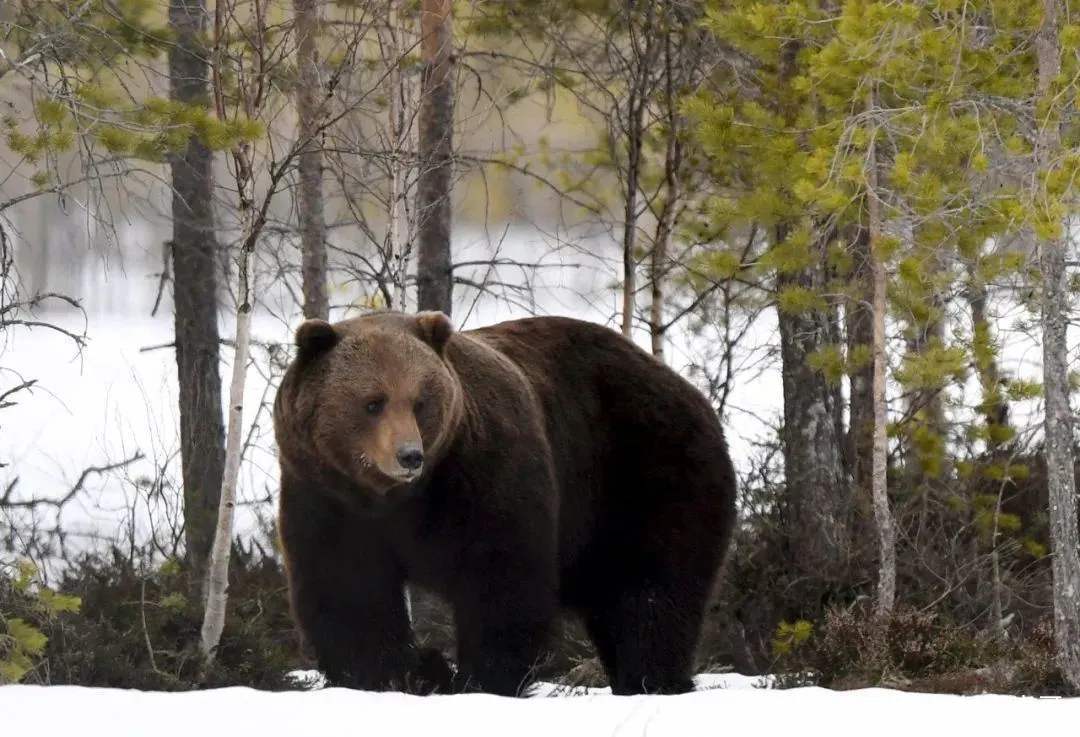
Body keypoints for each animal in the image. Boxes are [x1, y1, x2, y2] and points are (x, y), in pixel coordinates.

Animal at [274, 311, 738, 695]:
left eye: (420, 401)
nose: (409, 456)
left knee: (653, 591)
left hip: (646, 473)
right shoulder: (326, 497)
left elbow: (501, 577)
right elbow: (348, 591)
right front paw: (396, 674)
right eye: (373, 402)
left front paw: (480, 678)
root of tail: (689, 390)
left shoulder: (485, 471)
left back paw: (652, 680)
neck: (398, 498)